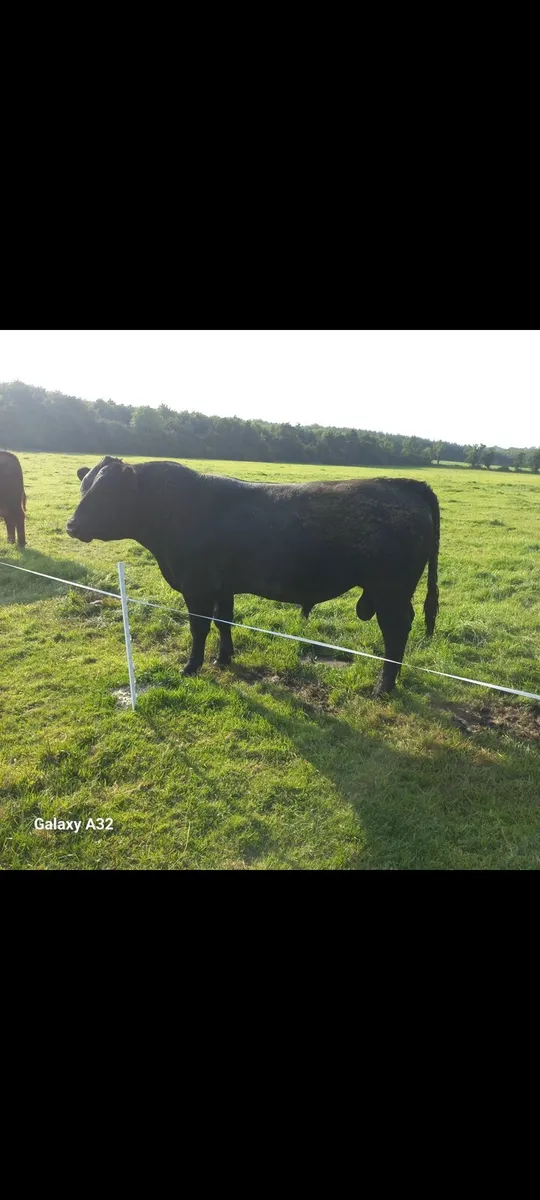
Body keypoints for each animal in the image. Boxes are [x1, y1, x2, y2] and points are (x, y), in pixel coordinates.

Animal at [66, 457, 440, 696]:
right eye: (84, 487)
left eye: (106, 492)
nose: (72, 525)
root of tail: (404, 485)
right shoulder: (222, 587)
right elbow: (224, 622)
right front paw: (224, 657)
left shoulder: (196, 586)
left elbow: (199, 627)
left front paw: (191, 667)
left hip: (391, 592)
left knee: (396, 632)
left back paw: (383, 687)